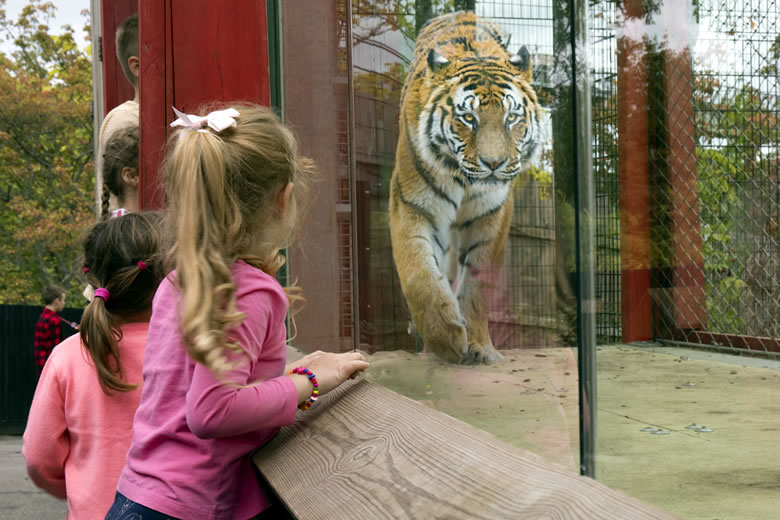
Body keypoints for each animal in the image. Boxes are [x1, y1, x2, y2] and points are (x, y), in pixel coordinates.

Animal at [388, 11, 544, 362]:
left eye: (511, 118)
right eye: (469, 118)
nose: (494, 163)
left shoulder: (492, 215)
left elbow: (477, 288)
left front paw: (480, 347)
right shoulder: (411, 205)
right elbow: (419, 273)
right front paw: (445, 338)